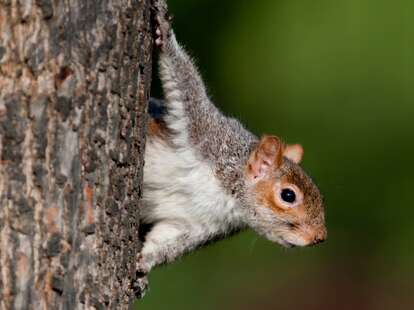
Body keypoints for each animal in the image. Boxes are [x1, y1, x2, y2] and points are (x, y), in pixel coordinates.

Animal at [137, 0, 326, 274]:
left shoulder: (194, 225)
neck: (228, 197)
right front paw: (164, 27)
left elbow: (165, 242)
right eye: (288, 195)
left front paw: (142, 264)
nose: (319, 237)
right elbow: (185, 83)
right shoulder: (207, 133)